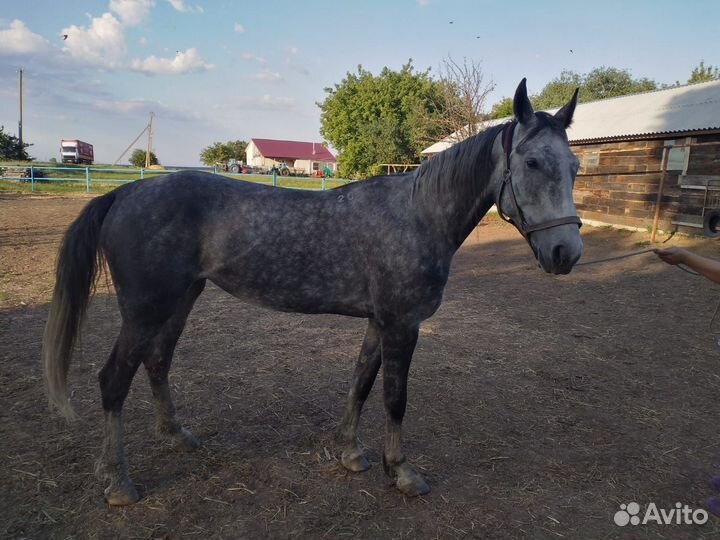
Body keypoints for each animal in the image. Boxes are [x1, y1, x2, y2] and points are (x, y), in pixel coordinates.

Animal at [43, 78, 584, 504]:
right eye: (532, 162)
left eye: (575, 166)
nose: (566, 252)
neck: (418, 215)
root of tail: (124, 193)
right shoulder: (402, 325)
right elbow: (395, 398)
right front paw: (401, 472)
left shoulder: (379, 321)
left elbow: (361, 382)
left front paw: (350, 452)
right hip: (144, 310)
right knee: (113, 381)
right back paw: (117, 482)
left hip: (180, 301)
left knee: (157, 363)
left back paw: (177, 436)